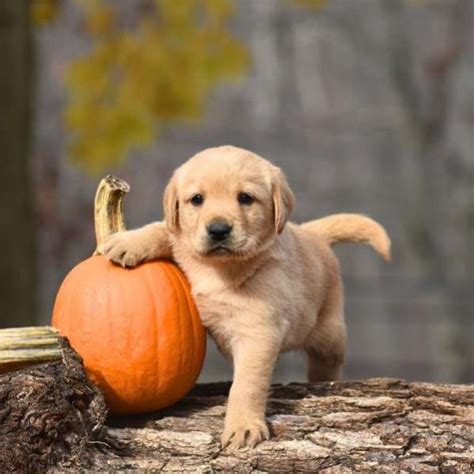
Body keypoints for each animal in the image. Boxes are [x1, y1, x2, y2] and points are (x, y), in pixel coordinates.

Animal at [102, 146, 390, 450]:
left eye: (245, 198)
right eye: (197, 199)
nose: (218, 230)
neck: (221, 268)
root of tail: (311, 232)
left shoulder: (258, 333)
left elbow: (246, 385)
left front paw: (243, 425)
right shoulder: (184, 243)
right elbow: (165, 230)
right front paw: (128, 242)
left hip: (329, 332)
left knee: (328, 362)